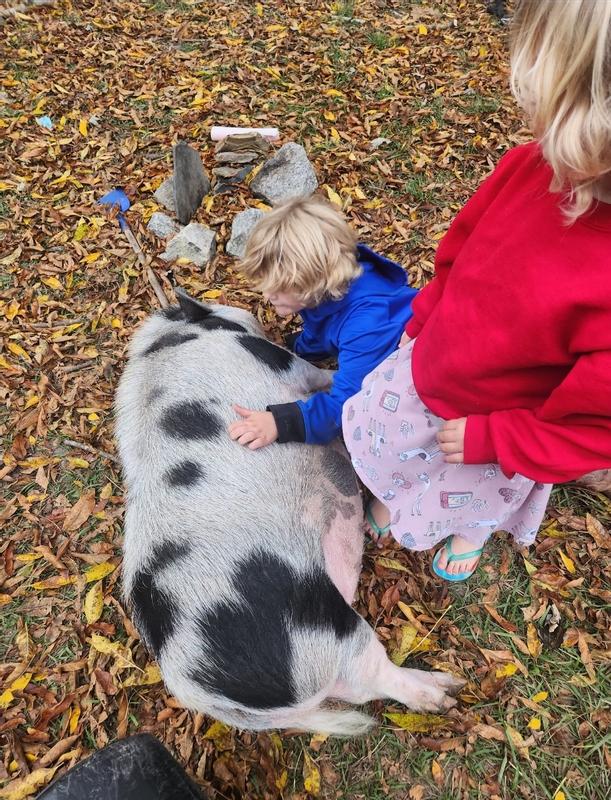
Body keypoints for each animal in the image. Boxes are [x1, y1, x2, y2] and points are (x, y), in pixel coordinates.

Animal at [114, 290, 463, 735]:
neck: (175, 339)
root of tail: (196, 686)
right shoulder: (286, 364)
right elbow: (322, 379)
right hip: (321, 622)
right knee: (375, 673)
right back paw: (447, 692)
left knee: (356, 688)